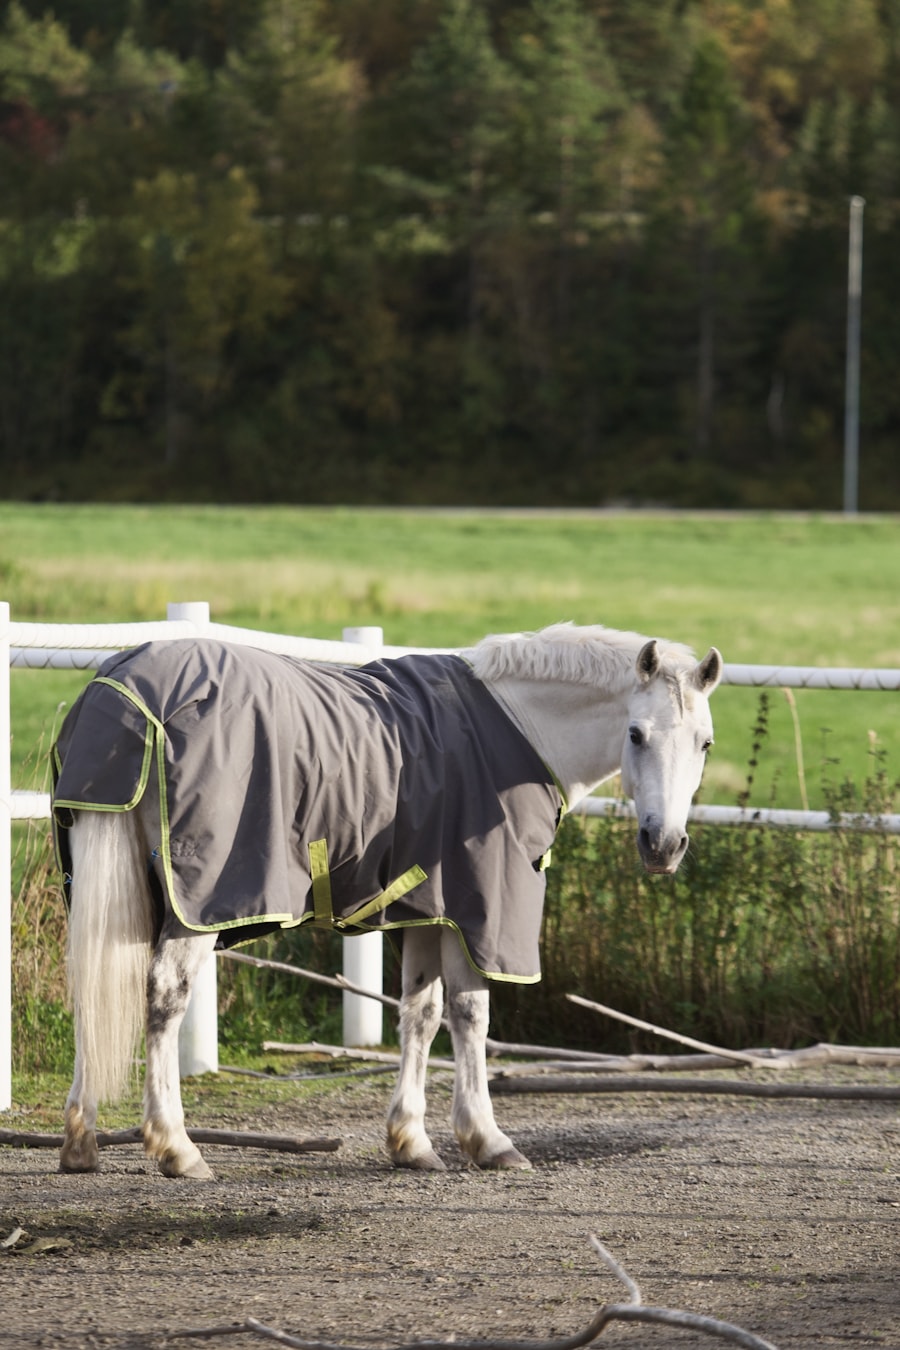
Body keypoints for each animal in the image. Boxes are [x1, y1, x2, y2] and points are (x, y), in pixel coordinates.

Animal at [51, 622, 722, 1180]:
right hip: (200, 903)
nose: (664, 845)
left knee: (89, 984)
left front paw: (412, 1142)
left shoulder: (429, 908)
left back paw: (81, 1143)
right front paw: (488, 1140)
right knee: (165, 997)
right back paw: (175, 1147)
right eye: (636, 733)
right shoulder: (478, 910)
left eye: (706, 743)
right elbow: (471, 1014)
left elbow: (421, 1014)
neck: (517, 729)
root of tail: (122, 689)